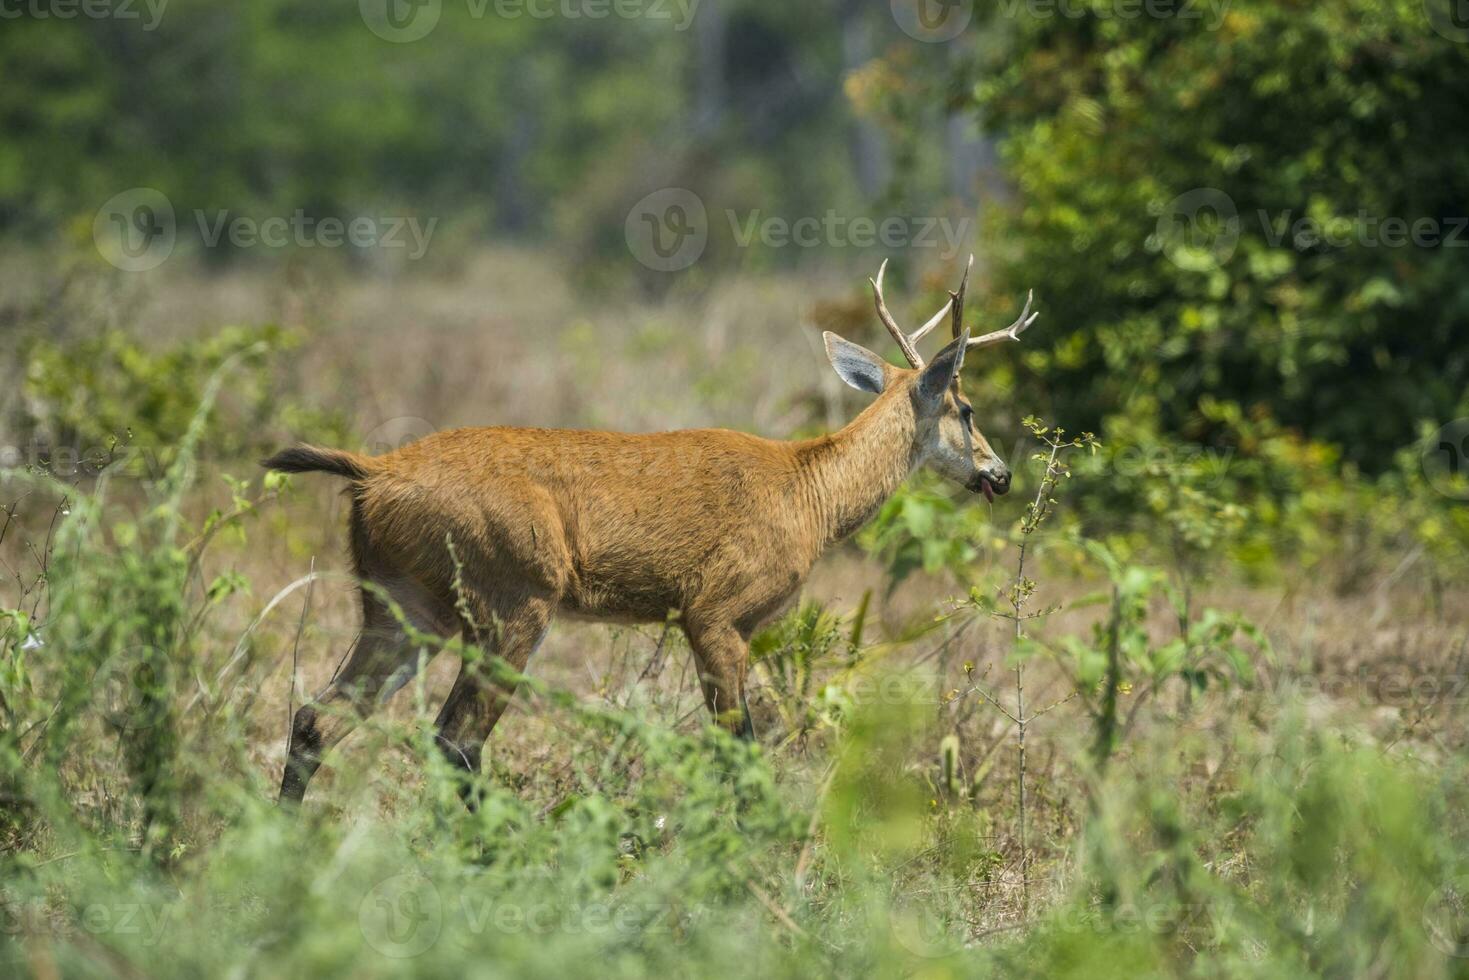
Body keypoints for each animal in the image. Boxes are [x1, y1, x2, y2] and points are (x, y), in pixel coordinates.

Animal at [264, 258, 1034, 805]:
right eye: (965, 407)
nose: (999, 474)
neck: (808, 495)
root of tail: (371, 473)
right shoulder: (716, 611)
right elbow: (737, 749)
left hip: (403, 607)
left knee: (317, 719)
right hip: (512, 600)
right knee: (454, 739)